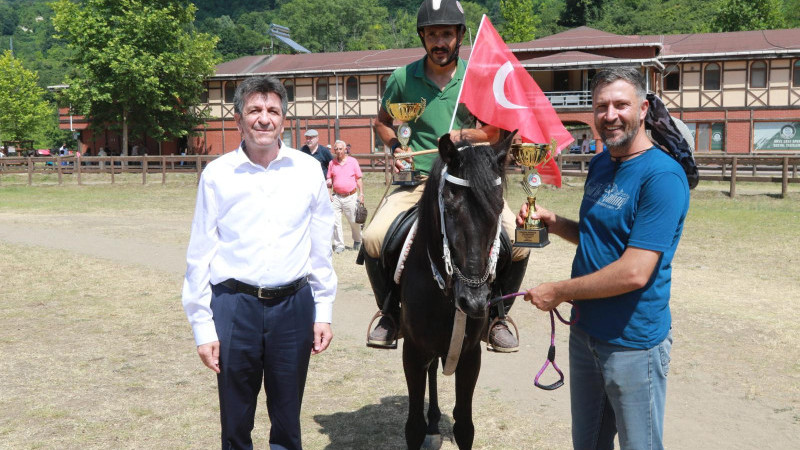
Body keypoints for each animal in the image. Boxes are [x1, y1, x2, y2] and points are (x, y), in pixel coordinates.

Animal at [396, 132, 512, 448]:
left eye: (498, 207)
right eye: (449, 207)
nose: (473, 301)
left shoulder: (470, 355)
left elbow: (464, 426)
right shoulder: (413, 352)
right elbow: (413, 426)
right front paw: (424, 427)